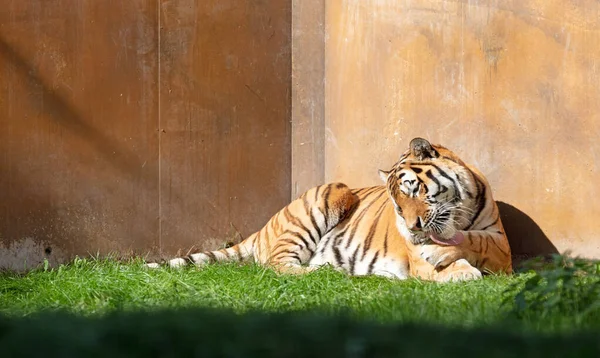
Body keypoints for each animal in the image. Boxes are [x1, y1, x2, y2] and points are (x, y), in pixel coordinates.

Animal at [146, 138, 510, 282]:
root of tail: (264, 227)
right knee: (278, 264)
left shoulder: (501, 244)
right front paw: (458, 268)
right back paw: (327, 271)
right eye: (397, 204)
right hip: (330, 193)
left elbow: (475, 240)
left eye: (413, 189)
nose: (413, 227)